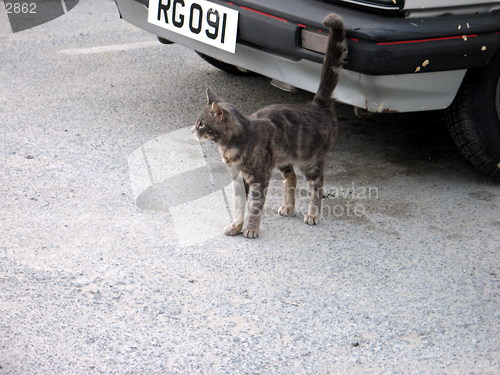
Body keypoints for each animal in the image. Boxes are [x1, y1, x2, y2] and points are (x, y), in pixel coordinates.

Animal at [193, 14, 346, 239]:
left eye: (202, 123)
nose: (192, 130)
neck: (231, 146)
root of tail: (317, 105)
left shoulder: (259, 178)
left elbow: (255, 207)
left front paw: (251, 229)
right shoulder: (238, 180)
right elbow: (239, 206)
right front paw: (236, 226)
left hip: (311, 161)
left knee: (317, 186)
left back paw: (313, 214)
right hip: (283, 158)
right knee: (291, 178)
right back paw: (288, 207)